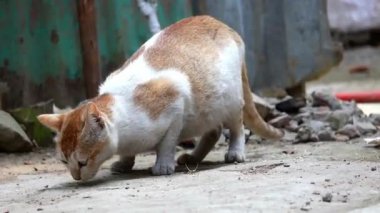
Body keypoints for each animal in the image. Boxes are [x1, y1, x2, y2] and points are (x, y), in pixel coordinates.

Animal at [37, 15, 284, 181]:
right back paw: (193, 158)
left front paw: (163, 165)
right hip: (208, 109)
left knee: (237, 127)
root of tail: (224, 26)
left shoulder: (176, 101)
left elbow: (167, 142)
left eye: (82, 162)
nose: (76, 177)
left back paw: (235, 151)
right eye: (63, 161)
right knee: (213, 131)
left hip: (230, 101)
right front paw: (125, 162)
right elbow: (129, 153)